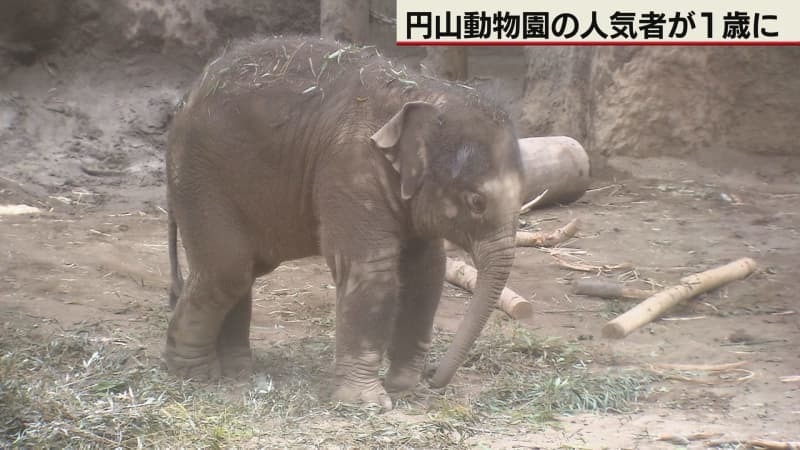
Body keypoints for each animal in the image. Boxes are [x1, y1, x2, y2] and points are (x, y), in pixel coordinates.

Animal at [164, 37, 524, 410]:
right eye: (477, 202)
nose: (433, 378)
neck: (421, 90)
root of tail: (186, 97)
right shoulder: (350, 169)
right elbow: (371, 269)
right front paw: (368, 403)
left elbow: (427, 269)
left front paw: (404, 387)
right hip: (198, 178)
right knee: (227, 269)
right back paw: (194, 374)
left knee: (242, 268)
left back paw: (237, 370)